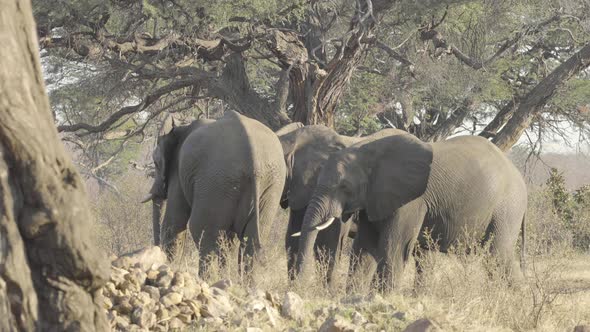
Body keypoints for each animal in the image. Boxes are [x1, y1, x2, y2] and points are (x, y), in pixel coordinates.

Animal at [146, 110, 290, 274]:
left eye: (156, 163)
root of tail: (253, 159)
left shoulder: (178, 171)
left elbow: (174, 222)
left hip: (216, 181)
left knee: (203, 234)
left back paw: (208, 277)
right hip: (270, 184)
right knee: (250, 243)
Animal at [298, 133, 528, 290]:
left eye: (344, 187)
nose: (299, 286)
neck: (365, 150)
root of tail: (521, 178)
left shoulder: (410, 202)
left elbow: (394, 248)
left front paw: (382, 298)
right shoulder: (375, 198)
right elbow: (365, 247)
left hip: (507, 209)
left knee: (497, 257)